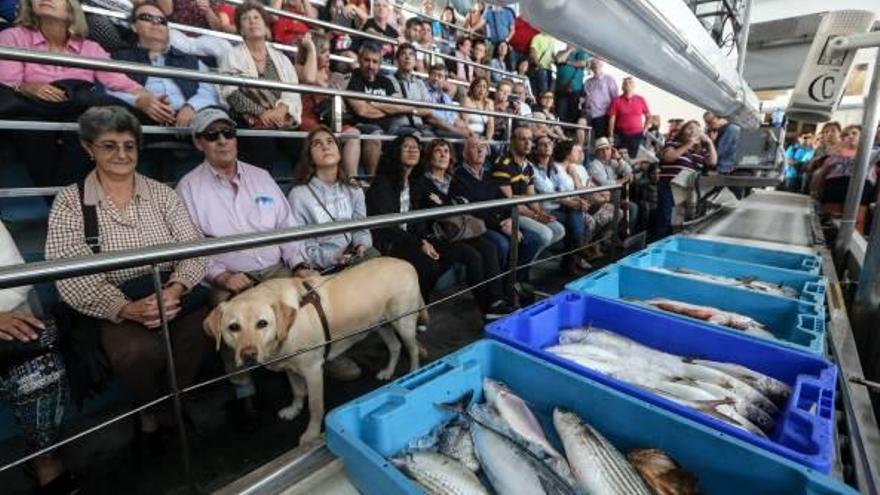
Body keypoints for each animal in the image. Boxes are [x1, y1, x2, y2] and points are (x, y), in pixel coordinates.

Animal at [206, 258, 426, 444]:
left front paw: (311, 434)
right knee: (395, 346)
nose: (248, 354)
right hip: (381, 325)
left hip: (403, 323)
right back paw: (388, 371)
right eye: (233, 327)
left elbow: (315, 405)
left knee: (413, 349)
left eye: (262, 323)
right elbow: (297, 391)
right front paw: (293, 410)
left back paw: (414, 373)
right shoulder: (290, 367)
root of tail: (406, 263)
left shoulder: (312, 370)